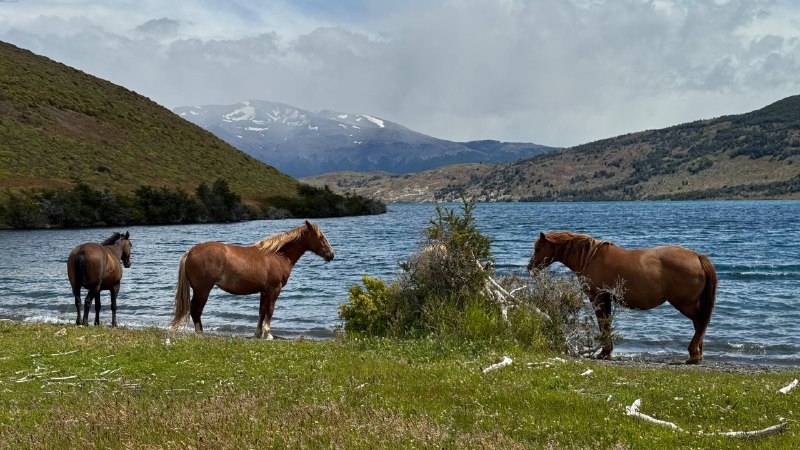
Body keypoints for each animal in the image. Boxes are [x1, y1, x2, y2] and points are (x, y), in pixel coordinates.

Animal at [170, 220, 335, 339]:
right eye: (321, 237)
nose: (331, 254)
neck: (277, 256)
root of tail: (190, 252)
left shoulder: (264, 291)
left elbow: (261, 311)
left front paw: (258, 333)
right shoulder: (274, 289)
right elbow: (270, 310)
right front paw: (268, 334)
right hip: (203, 290)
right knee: (196, 309)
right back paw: (200, 333)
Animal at [528, 231, 717, 364]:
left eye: (538, 248)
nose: (530, 267)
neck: (590, 257)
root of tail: (697, 257)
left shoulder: (598, 297)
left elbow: (603, 323)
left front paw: (604, 352)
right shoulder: (606, 299)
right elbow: (606, 323)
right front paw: (606, 351)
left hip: (685, 304)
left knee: (701, 322)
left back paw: (693, 354)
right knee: (700, 324)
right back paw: (697, 354)